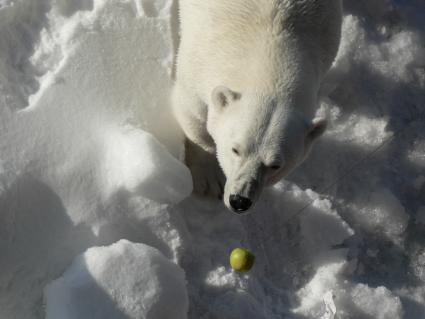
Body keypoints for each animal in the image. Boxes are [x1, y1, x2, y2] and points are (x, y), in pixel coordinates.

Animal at [172, 0, 342, 215]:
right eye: (235, 149)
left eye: (276, 165)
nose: (240, 201)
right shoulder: (199, 60)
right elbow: (193, 113)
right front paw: (208, 178)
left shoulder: (326, 38)